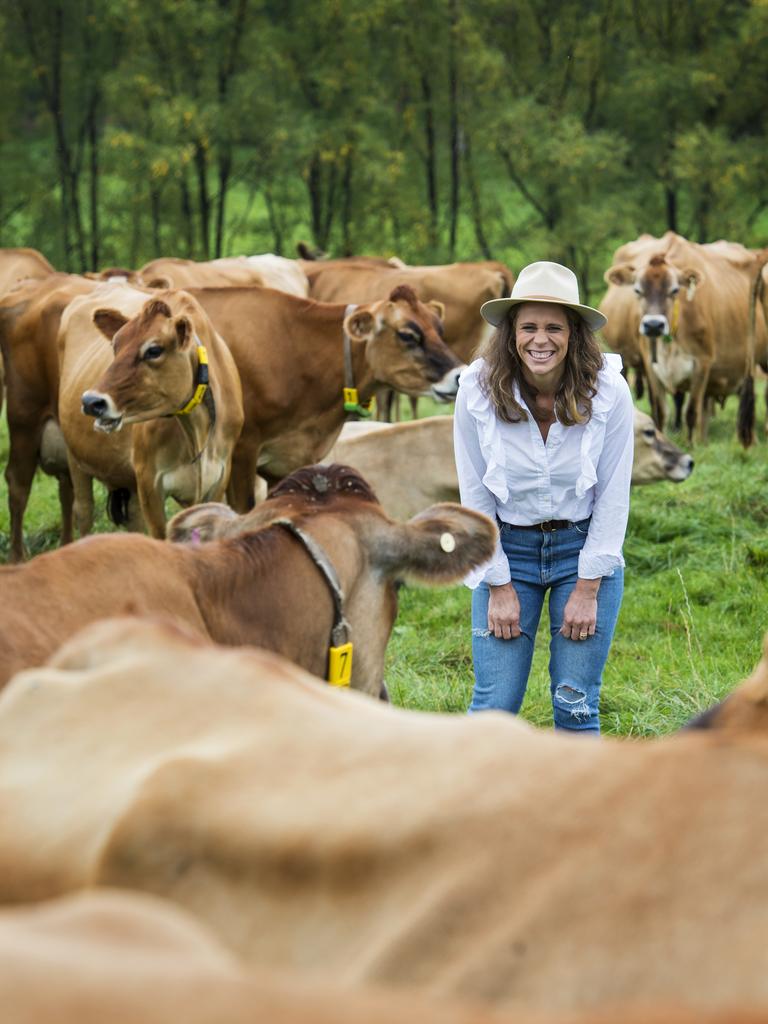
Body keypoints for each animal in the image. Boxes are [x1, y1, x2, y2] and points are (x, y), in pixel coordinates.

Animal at [60, 284, 246, 540]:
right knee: (84, 511)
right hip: (75, 458)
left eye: (154, 350)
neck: (196, 430)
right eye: (115, 346)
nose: (91, 401)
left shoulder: (219, 478)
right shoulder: (149, 482)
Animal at [606, 232, 768, 444]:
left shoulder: (702, 363)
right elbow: (660, 412)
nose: (653, 325)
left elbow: (691, 411)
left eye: (675, 290)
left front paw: (692, 444)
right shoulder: (651, 366)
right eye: (637, 290)